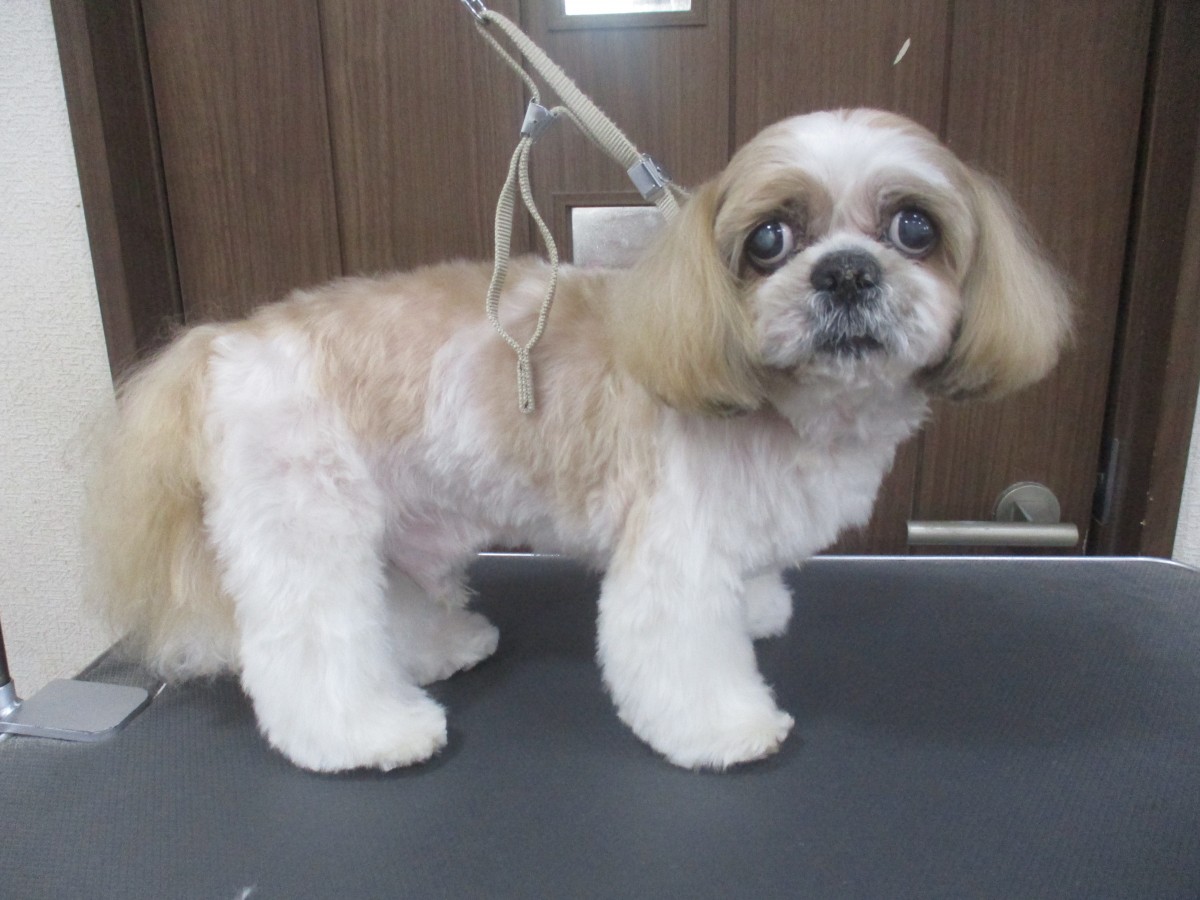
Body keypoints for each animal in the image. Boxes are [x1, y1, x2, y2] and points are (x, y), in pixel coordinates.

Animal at [86, 109, 1070, 772]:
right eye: (769, 239)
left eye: (915, 226)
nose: (847, 273)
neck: (789, 407)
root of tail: (225, 342)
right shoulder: (673, 548)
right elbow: (680, 652)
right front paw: (727, 727)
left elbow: (747, 583)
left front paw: (758, 607)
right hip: (304, 515)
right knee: (310, 641)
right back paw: (367, 731)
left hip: (385, 515)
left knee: (386, 600)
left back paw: (437, 649)